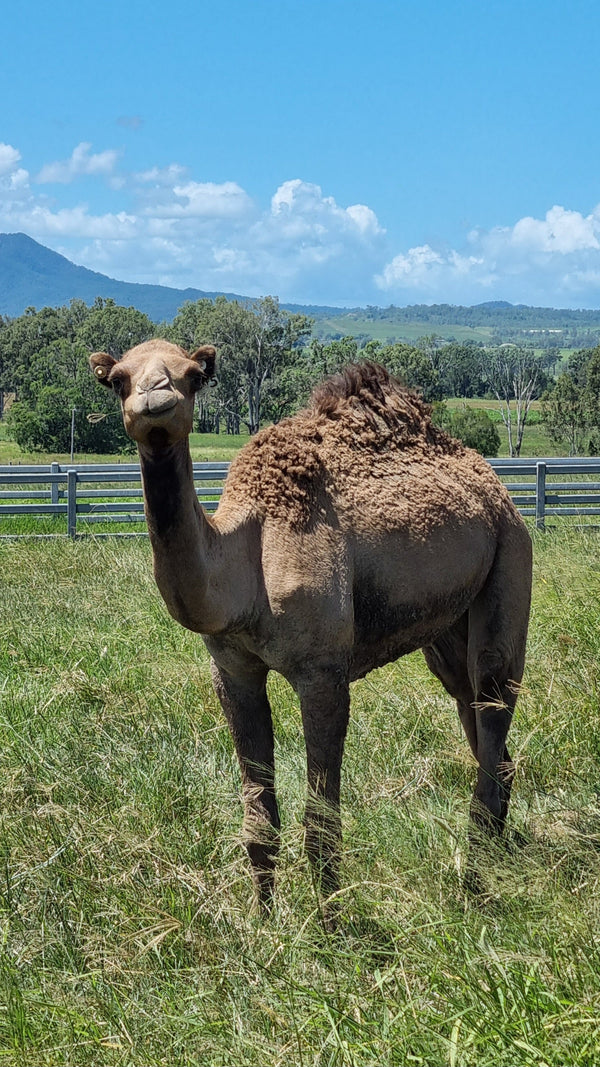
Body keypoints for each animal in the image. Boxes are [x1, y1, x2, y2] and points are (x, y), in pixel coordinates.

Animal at [90, 339, 532, 918]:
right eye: (118, 379)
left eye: (191, 375)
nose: (155, 399)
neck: (245, 556)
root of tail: (496, 486)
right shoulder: (231, 668)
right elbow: (259, 819)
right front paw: (261, 920)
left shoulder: (322, 672)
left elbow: (321, 821)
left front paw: (331, 927)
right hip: (448, 627)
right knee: (479, 718)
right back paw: (496, 862)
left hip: (510, 559)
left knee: (494, 693)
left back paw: (474, 885)